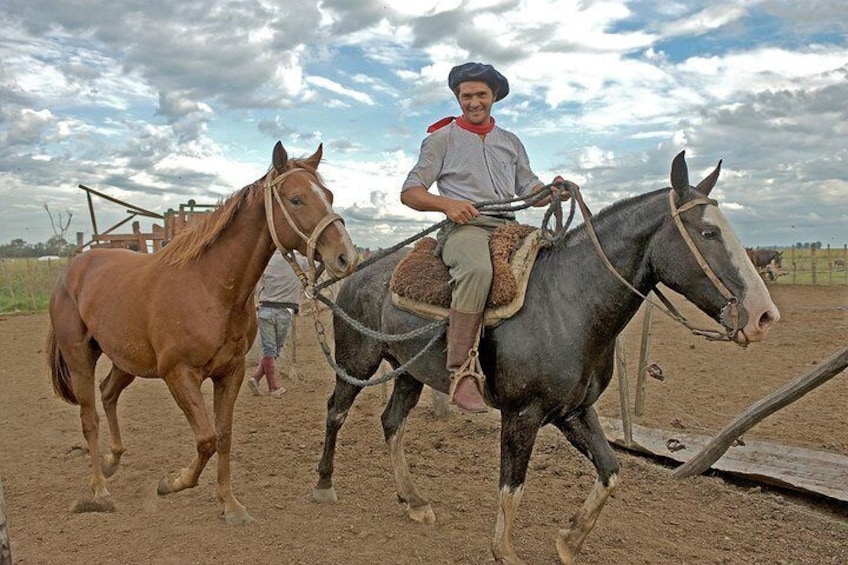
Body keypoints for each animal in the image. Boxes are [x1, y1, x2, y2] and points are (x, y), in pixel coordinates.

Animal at [47, 140, 358, 524]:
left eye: (328, 195)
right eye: (296, 199)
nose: (346, 256)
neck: (209, 287)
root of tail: (73, 266)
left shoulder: (230, 372)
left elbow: (223, 436)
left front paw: (230, 504)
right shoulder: (178, 374)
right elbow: (206, 438)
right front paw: (172, 482)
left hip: (125, 360)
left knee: (108, 394)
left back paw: (112, 461)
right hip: (79, 356)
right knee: (89, 417)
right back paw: (99, 489)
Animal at [310, 151, 776, 564]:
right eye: (708, 233)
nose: (763, 315)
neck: (569, 301)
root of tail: (355, 271)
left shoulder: (573, 411)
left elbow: (611, 470)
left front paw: (569, 541)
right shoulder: (523, 413)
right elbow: (511, 485)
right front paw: (505, 551)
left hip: (410, 372)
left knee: (392, 422)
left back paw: (413, 501)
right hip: (356, 363)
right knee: (335, 411)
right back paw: (324, 484)